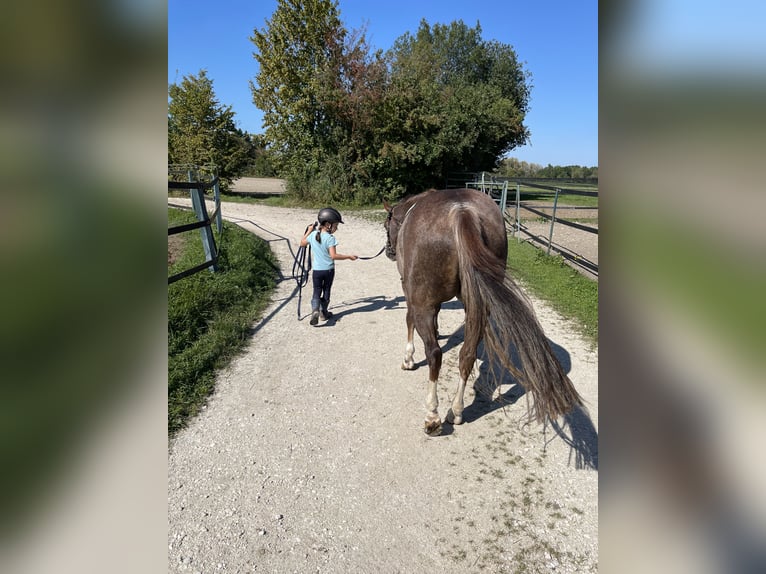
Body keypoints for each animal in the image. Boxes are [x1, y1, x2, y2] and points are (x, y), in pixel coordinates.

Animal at [380, 189, 584, 436]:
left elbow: (409, 321)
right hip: (476, 307)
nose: (389, 251)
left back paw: (433, 416)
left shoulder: (412, 296)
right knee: (467, 355)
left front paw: (408, 359)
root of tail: (461, 211)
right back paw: (456, 412)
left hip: (425, 304)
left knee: (435, 354)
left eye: (386, 225)